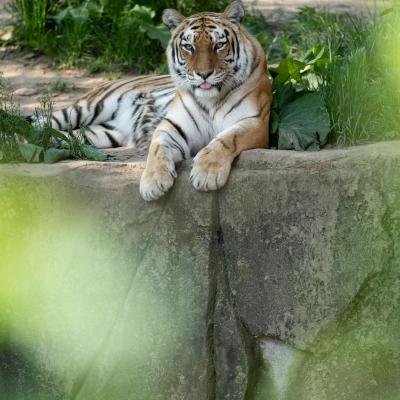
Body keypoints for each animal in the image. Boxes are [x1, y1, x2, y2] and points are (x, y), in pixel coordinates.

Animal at [45, 0, 274, 200]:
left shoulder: (254, 123)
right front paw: (153, 183)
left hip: (102, 133)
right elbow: (157, 148)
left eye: (219, 45)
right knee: (45, 122)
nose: (203, 74)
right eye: (188, 47)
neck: (210, 100)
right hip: (88, 108)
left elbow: (226, 139)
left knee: (63, 135)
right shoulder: (172, 126)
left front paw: (207, 173)